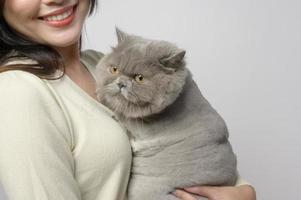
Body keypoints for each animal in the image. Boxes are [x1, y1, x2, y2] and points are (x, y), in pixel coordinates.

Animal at [94, 28, 237, 200]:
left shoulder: (142, 128)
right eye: (114, 69)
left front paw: (103, 99)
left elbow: (123, 113)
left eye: (139, 78)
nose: (121, 83)